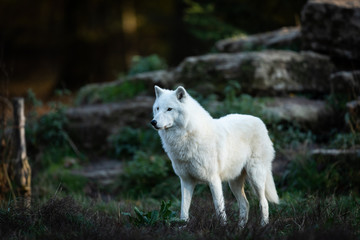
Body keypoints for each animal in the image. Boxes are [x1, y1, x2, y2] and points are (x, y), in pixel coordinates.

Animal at [150, 85, 280, 226]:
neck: (186, 137)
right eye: (157, 108)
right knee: (245, 204)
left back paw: (263, 226)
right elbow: (184, 210)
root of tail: (259, 121)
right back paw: (241, 228)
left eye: (169, 109)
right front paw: (183, 226)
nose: (153, 122)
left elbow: (219, 209)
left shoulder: (214, 179)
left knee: (264, 202)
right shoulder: (186, 181)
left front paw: (223, 227)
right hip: (234, 183)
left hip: (256, 177)